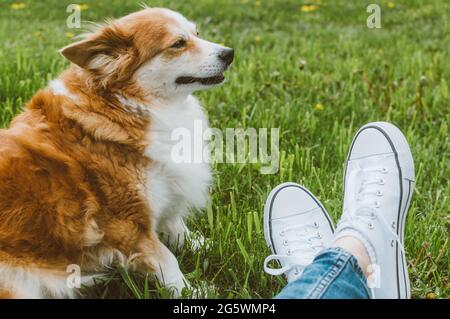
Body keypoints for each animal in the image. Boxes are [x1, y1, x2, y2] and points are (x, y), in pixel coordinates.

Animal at [0, 7, 234, 298]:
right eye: (178, 44)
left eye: (197, 33)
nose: (229, 53)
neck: (124, 105)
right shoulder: (128, 225)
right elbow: (168, 260)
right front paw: (193, 292)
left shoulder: (165, 193)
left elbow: (177, 227)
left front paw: (209, 245)